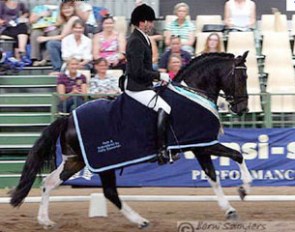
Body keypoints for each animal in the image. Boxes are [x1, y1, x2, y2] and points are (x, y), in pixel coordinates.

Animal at [10, 52, 253, 228]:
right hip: (104, 161)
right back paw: (140, 220)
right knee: (110, 193)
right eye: (242, 77)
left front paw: (230, 208)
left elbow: (214, 176)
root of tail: (68, 117)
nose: (242, 109)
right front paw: (244, 189)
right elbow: (237, 155)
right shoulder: (203, 144)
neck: (194, 93)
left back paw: (45, 221)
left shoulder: (201, 146)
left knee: (50, 182)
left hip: (76, 160)